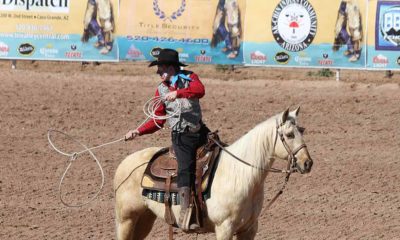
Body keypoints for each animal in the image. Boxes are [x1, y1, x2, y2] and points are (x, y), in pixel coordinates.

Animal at [114, 108, 314, 239]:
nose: (308, 163)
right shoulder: (224, 228)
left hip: (145, 218)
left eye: (302, 130)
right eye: (289, 134)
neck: (240, 175)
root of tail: (124, 164)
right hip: (126, 219)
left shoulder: (249, 228)